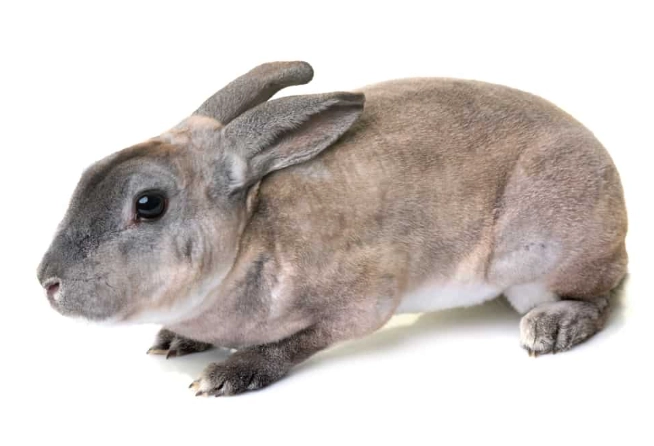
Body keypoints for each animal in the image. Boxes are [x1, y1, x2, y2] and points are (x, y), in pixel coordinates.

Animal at [37, 61, 628, 396]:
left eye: (149, 204)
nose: (48, 283)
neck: (249, 239)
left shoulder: (367, 297)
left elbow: (305, 339)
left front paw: (232, 373)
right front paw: (175, 340)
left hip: (538, 258)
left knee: (601, 296)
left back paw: (552, 328)